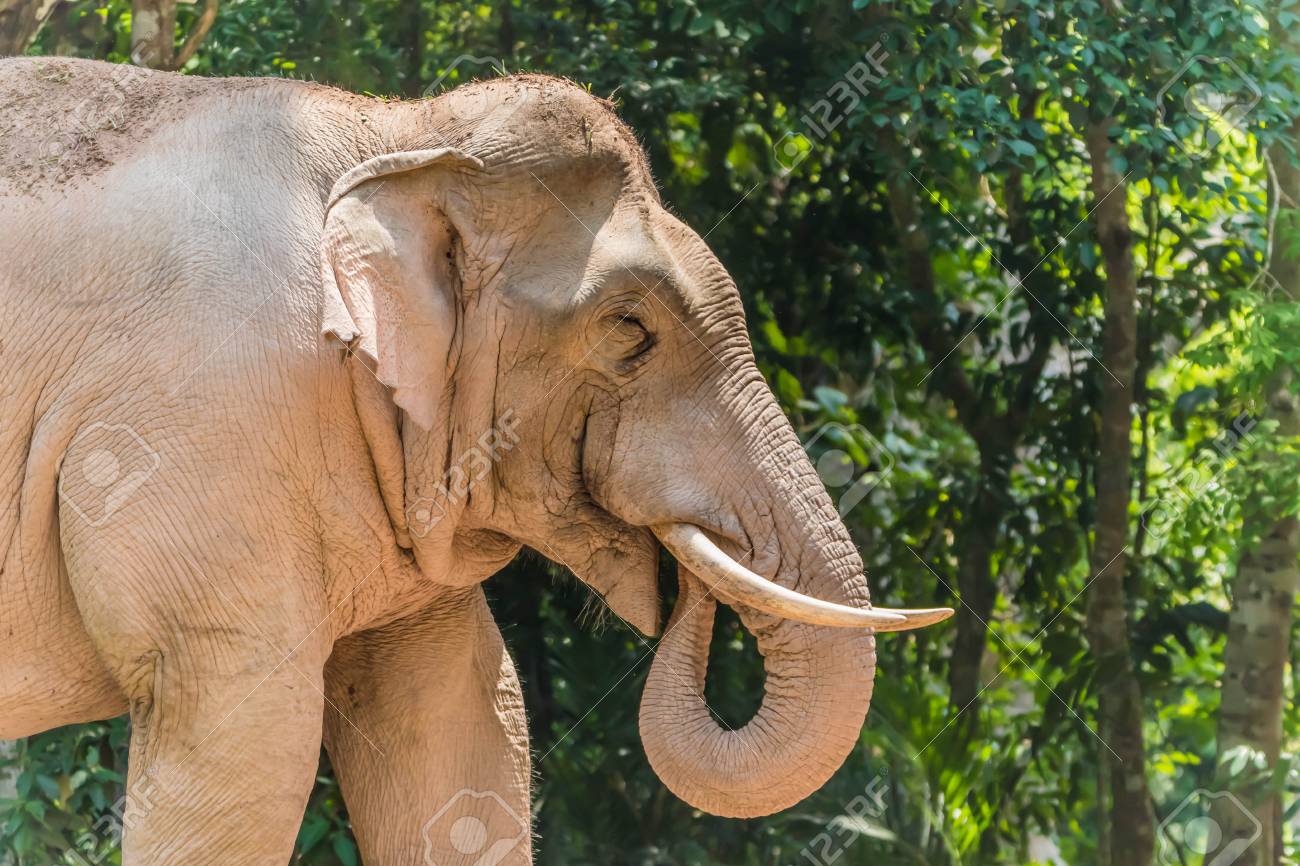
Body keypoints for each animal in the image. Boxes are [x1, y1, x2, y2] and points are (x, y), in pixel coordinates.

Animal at [0, 57, 952, 865]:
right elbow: (245, 737)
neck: (394, 135)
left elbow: (462, 720)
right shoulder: (196, 432)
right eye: (629, 331)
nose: (685, 587)